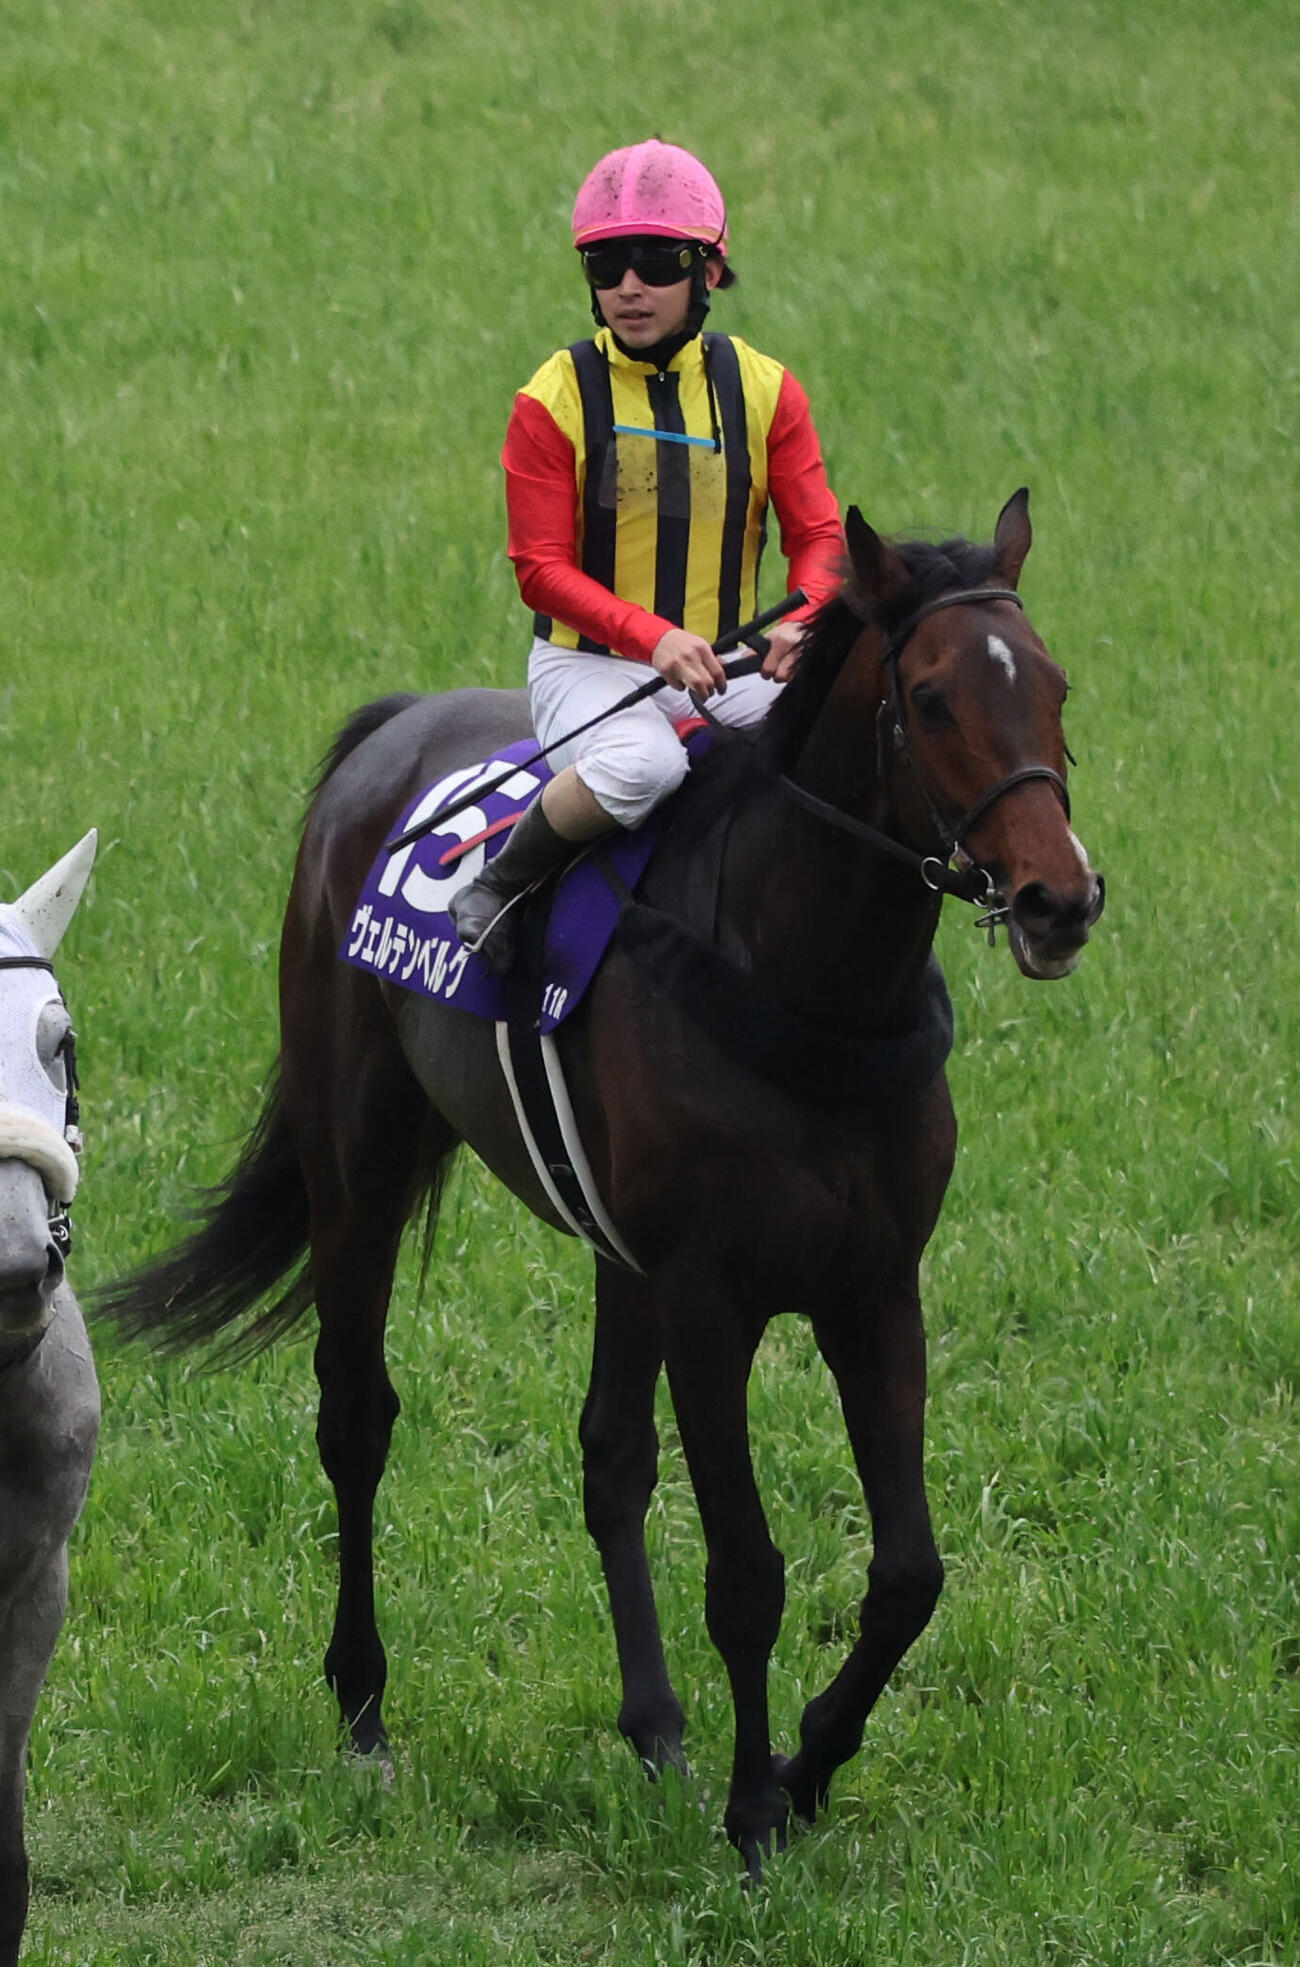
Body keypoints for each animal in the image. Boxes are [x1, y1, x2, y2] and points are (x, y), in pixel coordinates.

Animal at [99, 493, 1104, 1877]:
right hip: (357, 1167)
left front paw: (803, 1764)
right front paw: (753, 1812)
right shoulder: (709, 1295)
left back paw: (655, 1727)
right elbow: (746, 1570)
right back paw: (363, 1708)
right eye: (936, 698)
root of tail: (391, 727)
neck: (804, 985)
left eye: (1053, 683)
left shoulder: (871, 1283)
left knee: (609, 1454)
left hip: (611, 1244)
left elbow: (907, 1570)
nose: (1060, 899)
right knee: (356, 1417)